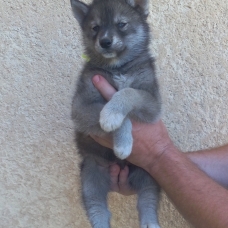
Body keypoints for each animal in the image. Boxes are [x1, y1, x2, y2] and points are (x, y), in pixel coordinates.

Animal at [70, 0, 161, 228]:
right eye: (95, 28)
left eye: (121, 24)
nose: (105, 42)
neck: (118, 67)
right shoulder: (81, 106)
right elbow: (122, 117)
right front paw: (118, 135)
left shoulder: (152, 102)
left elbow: (127, 92)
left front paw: (112, 115)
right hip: (90, 176)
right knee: (97, 207)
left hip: (149, 174)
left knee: (147, 197)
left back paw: (149, 221)